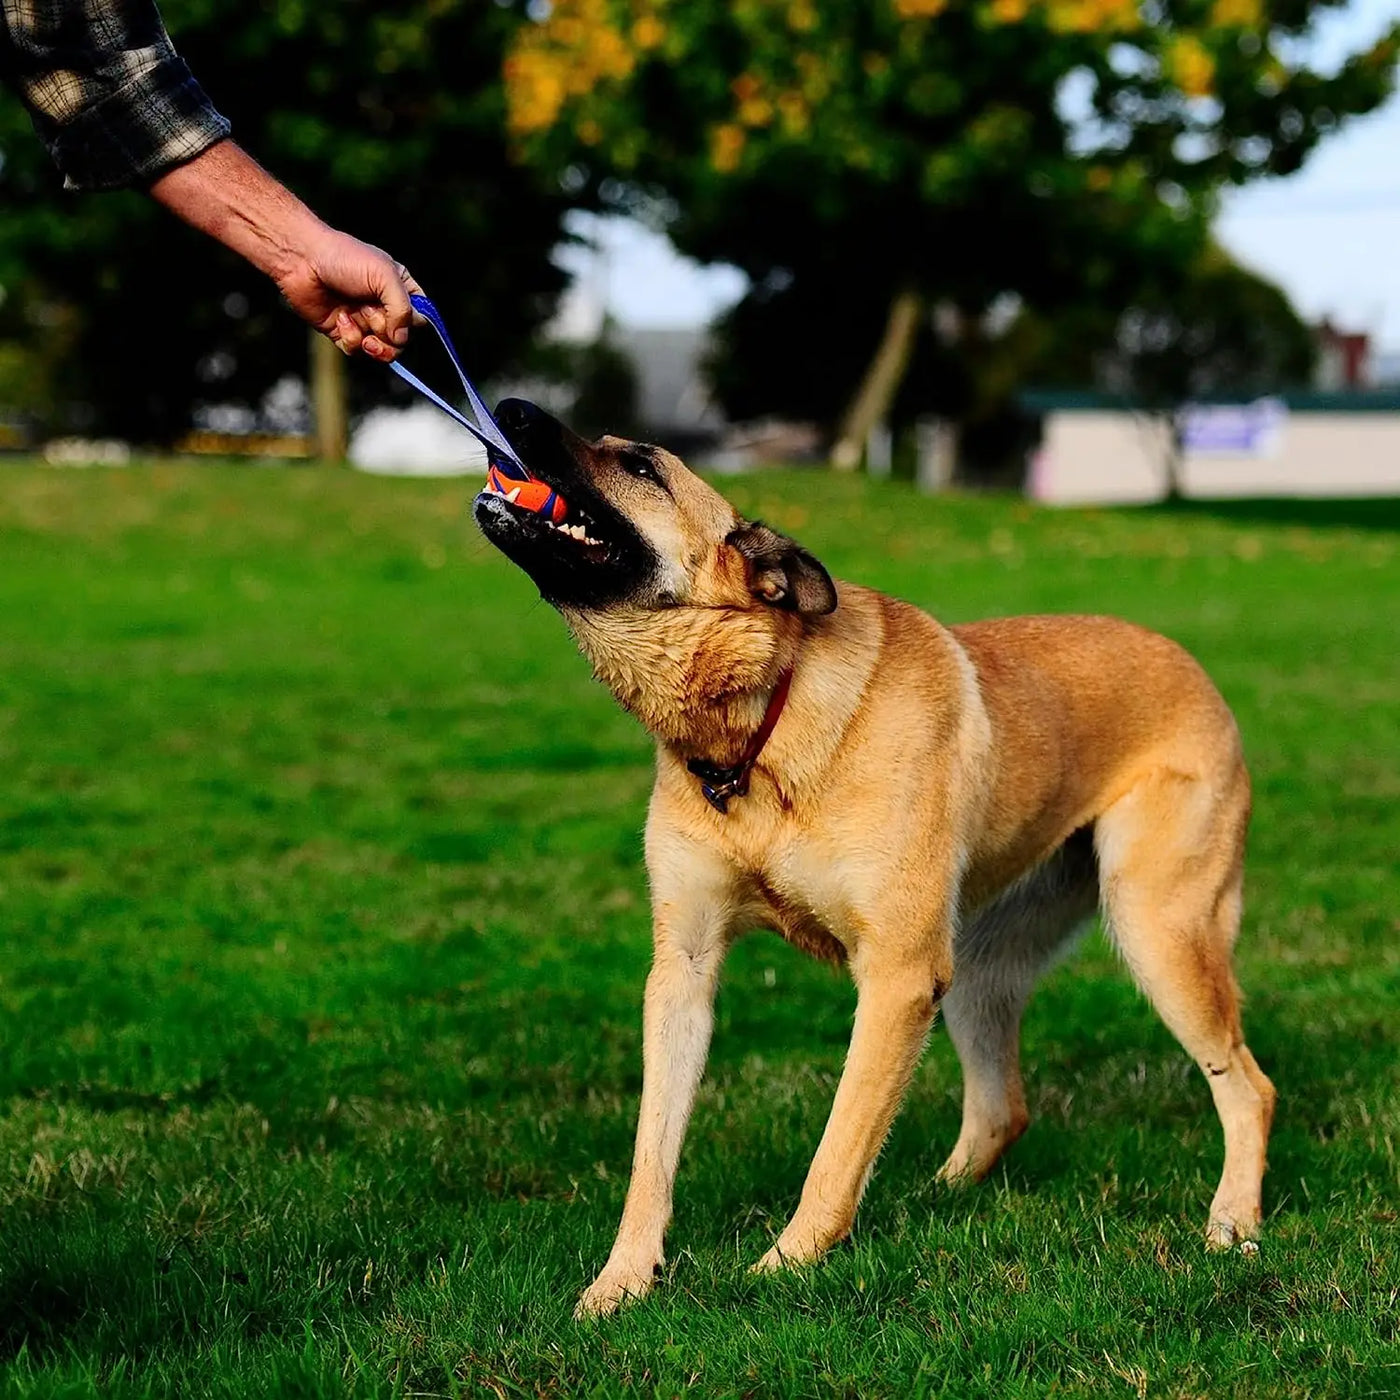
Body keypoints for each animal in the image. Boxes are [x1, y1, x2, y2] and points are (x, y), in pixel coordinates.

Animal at [476, 400, 1276, 1316]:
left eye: (643, 466)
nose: (511, 409)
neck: (763, 726)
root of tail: (1195, 670)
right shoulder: (684, 968)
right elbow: (654, 1153)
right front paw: (621, 1283)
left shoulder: (896, 975)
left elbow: (837, 1146)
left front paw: (782, 1269)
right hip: (979, 967)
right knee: (1003, 1108)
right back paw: (938, 1195)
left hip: (1157, 932)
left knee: (1248, 1088)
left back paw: (1232, 1222)